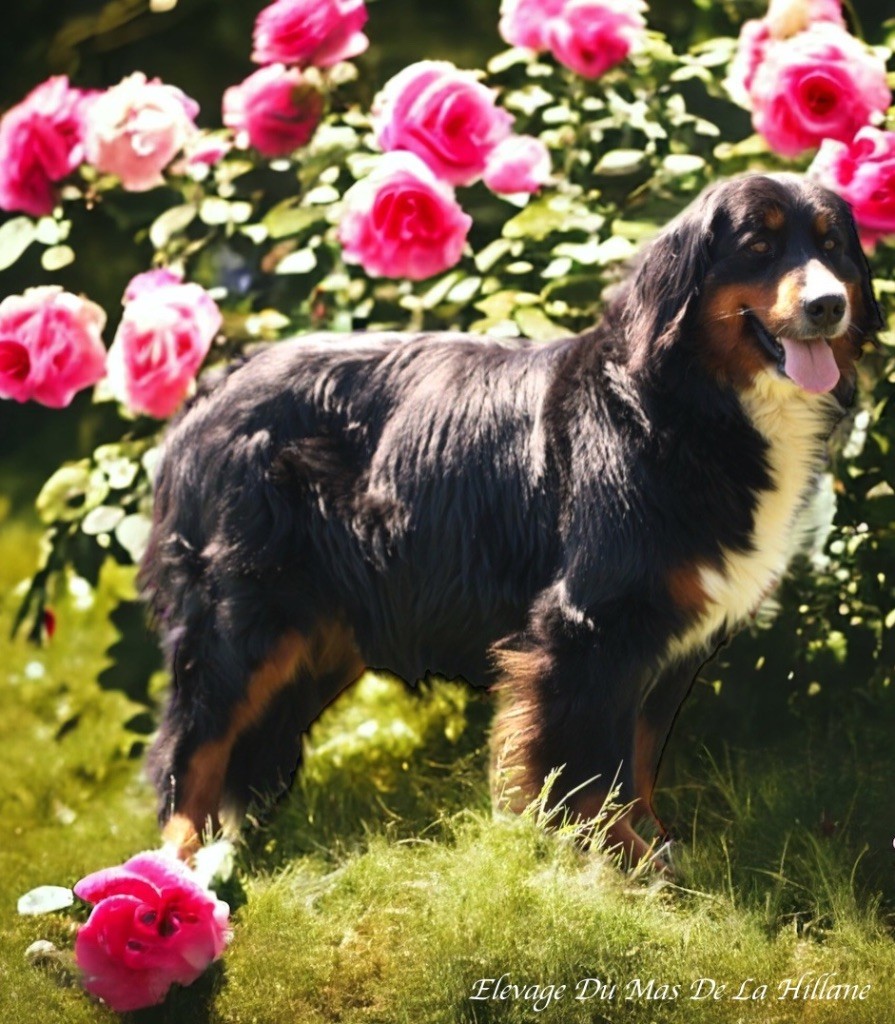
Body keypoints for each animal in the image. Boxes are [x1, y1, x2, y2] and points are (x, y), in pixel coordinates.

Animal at [143, 174, 880, 864]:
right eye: (758, 245)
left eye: (832, 246)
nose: (827, 306)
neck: (693, 404)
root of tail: (213, 392)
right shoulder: (585, 624)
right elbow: (589, 764)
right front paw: (620, 860)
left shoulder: (670, 631)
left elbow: (638, 759)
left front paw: (652, 844)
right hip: (242, 617)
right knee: (192, 741)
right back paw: (178, 865)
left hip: (317, 634)